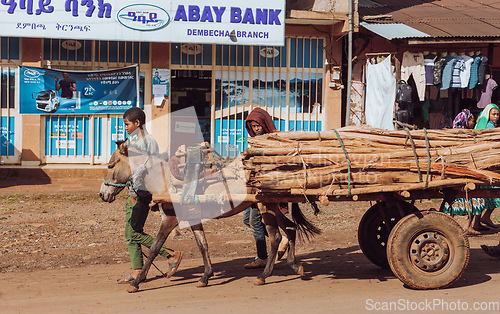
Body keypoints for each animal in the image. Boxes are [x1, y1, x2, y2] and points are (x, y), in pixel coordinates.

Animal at [99, 140, 320, 292]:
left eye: (111, 165)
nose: (102, 194)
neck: (166, 180)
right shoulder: (193, 219)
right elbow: (202, 245)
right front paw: (205, 276)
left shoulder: (170, 219)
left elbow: (154, 248)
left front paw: (136, 282)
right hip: (271, 206)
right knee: (290, 228)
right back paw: (294, 266)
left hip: (266, 207)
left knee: (275, 237)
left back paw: (264, 275)